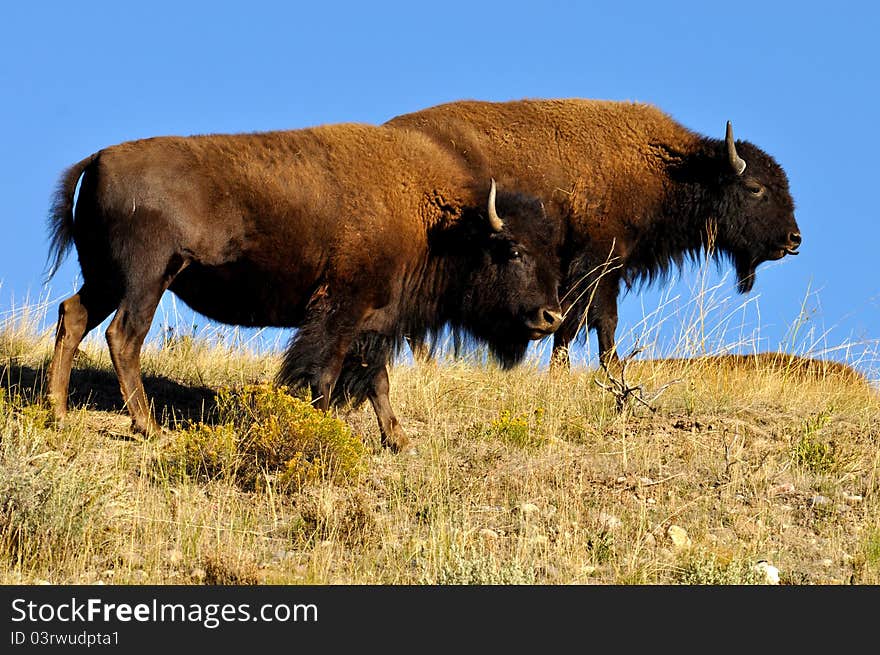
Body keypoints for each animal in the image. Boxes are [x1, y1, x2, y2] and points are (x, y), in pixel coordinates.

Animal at [44, 123, 560, 452]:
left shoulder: (374, 324)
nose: (550, 317)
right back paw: (148, 427)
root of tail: (98, 159)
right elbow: (325, 376)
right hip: (146, 280)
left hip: (105, 279)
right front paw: (324, 428)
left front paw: (399, 440)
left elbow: (378, 381)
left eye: (549, 251)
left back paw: (59, 411)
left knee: (74, 316)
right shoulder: (340, 313)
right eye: (512, 250)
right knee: (123, 336)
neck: (437, 221)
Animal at [384, 101, 804, 368]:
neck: (670, 170)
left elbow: (574, 320)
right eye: (755, 188)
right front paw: (605, 368)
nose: (794, 239)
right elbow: (598, 318)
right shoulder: (599, 263)